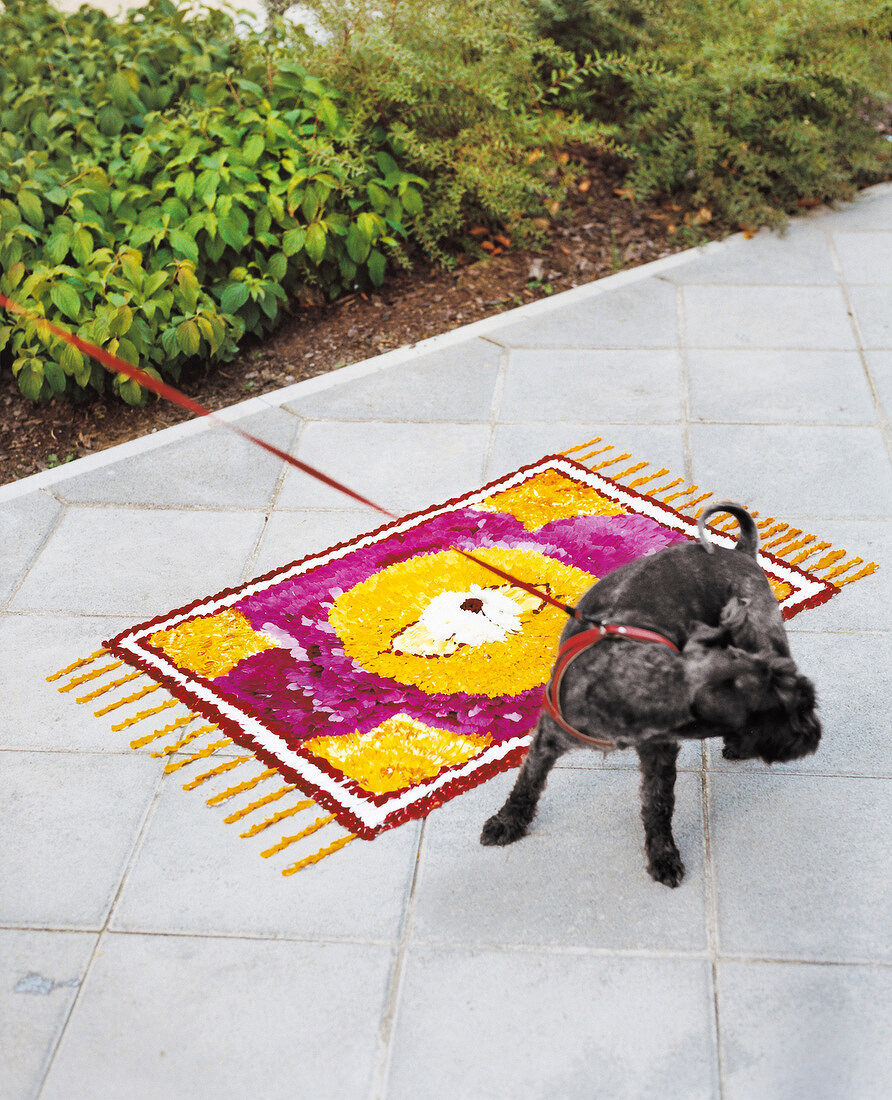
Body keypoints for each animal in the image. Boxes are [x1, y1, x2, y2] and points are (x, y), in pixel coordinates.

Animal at [481, 503, 822, 888]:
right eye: (783, 710)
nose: (813, 734)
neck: (626, 681)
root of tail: (739, 552)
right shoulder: (549, 736)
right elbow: (527, 782)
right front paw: (508, 821)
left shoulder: (659, 751)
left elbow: (657, 804)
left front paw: (662, 854)